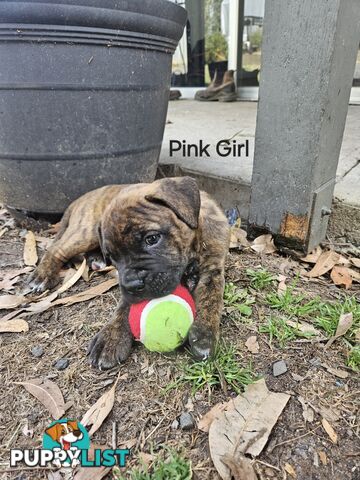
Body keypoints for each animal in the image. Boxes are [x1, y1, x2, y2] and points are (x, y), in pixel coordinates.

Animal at [29, 176, 229, 368]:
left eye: (152, 238)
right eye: (113, 256)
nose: (132, 285)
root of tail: (83, 197)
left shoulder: (213, 269)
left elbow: (212, 299)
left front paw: (204, 334)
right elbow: (124, 305)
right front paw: (112, 336)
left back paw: (95, 259)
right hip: (86, 233)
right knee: (56, 249)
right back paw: (42, 276)